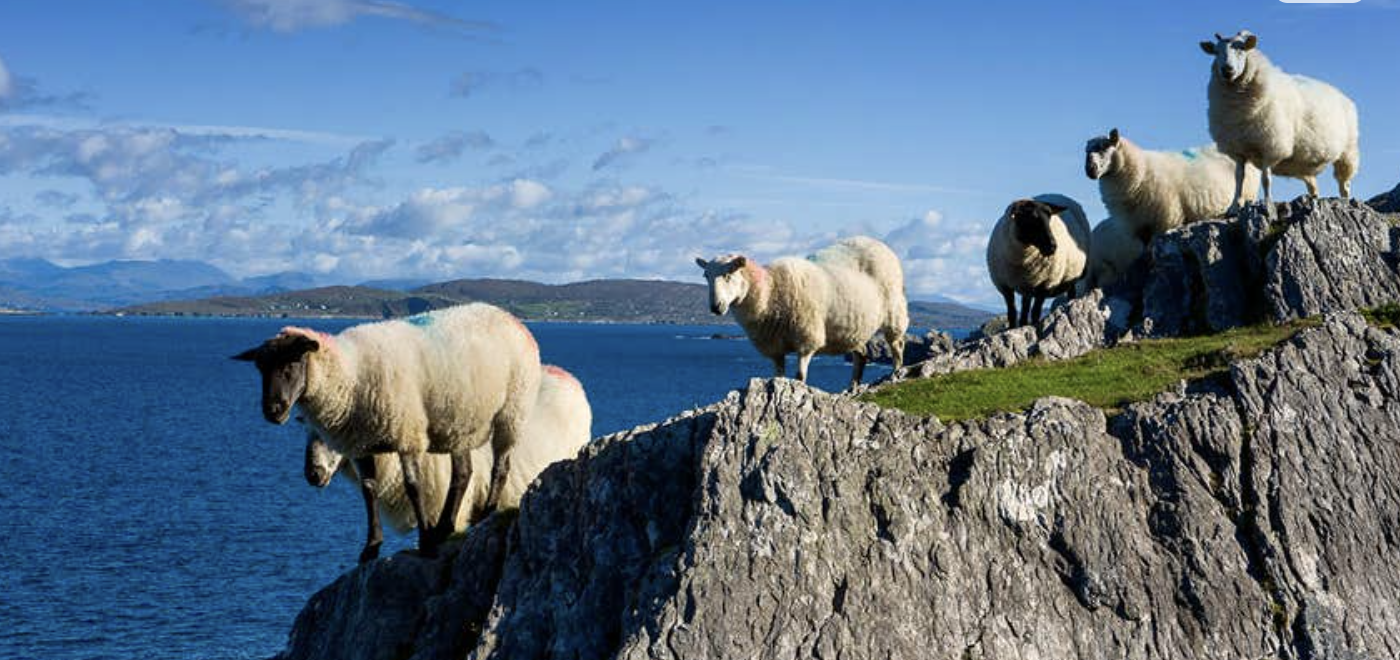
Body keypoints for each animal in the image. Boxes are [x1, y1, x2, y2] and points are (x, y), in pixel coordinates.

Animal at [233, 303, 541, 562]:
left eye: (292, 363)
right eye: (260, 368)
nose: (272, 411)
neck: (351, 375)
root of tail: (510, 317)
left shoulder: (408, 433)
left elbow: (413, 487)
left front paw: (425, 542)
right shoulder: (359, 444)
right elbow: (369, 491)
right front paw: (371, 548)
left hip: (511, 412)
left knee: (500, 467)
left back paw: (486, 515)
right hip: (459, 423)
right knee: (463, 473)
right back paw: (445, 528)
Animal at [694, 236, 909, 389]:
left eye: (728, 274)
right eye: (706, 276)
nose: (715, 306)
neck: (770, 290)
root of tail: (875, 242)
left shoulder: (807, 339)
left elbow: (799, 376)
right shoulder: (775, 347)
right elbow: (778, 376)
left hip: (894, 310)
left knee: (897, 344)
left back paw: (896, 374)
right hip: (854, 329)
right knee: (861, 355)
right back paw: (852, 388)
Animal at [986, 194, 1091, 328]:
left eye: (1049, 217)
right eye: (1031, 218)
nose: (1053, 246)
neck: (1023, 259)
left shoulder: (1046, 284)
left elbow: (1036, 311)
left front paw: (1034, 326)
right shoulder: (1004, 285)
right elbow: (1012, 312)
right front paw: (1013, 327)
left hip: (1072, 275)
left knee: (1071, 293)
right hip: (1027, 285)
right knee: (1025, 307)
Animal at [1085, 128, 1259, 240]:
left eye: (1104, 148)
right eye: (1086, 151)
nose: (1090, 170)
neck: (1141, 169)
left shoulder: (1164, 220)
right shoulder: (1140, 227)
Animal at [1201, 30, 1360, 215]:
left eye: (1241, 49)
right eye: (1216, 52)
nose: (1227, 70)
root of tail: (1341, 94)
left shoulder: (1271, 145)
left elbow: (1266, 179)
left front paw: (1267, 204)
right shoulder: (1238, 149)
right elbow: (1239, 179)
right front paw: (1234, 206)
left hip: (1348, 152)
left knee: (1344, 184)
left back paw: (1346, 202)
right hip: (1307, 168)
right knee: (1314, 188)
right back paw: (1314, 203)